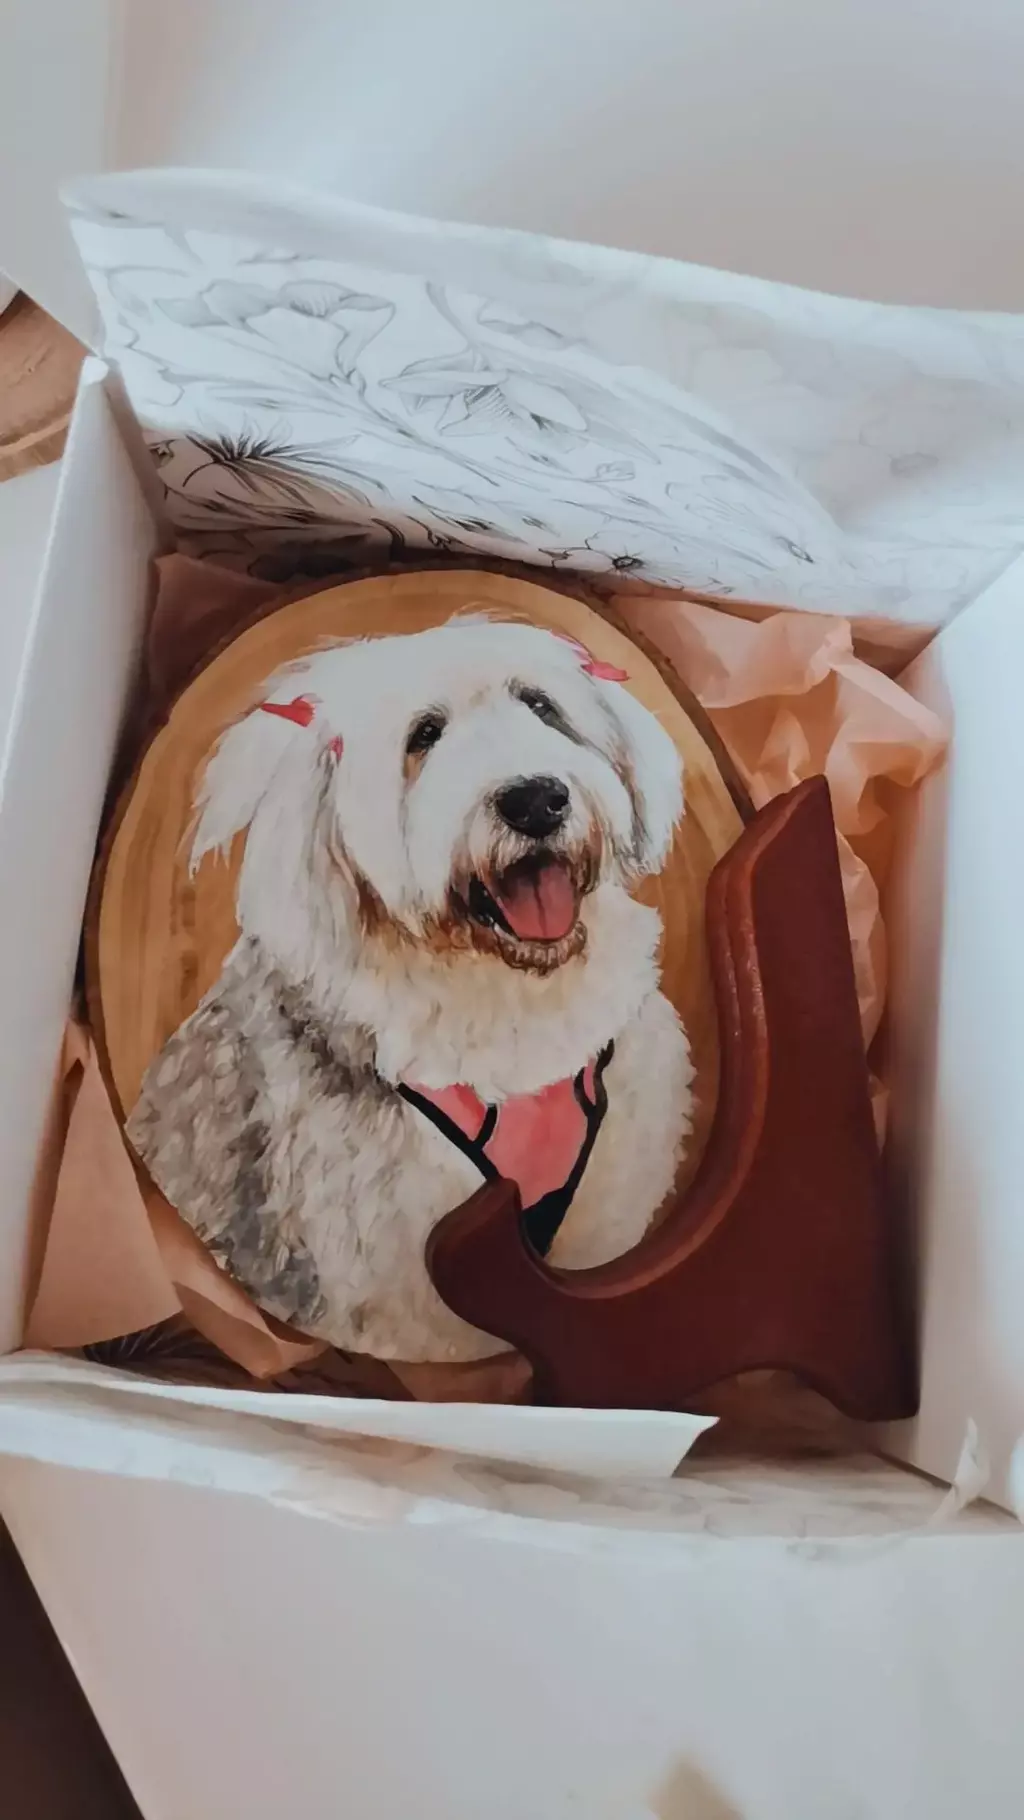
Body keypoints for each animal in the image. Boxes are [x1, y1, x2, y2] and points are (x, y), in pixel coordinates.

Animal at [126, 616, 694, 1362]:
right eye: (424, 735)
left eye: (541, 705)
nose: (536, 799)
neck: (505, 995)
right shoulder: (397, 1260)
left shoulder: (615, 1180)